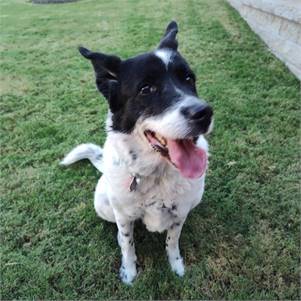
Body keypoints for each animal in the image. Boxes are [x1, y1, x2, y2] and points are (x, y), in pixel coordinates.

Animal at [59, 21, 212, 284]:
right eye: (146, 89)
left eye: (189, 78)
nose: (205, 113)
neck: (158, 175)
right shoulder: (123, 216)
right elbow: (127, 244)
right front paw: (129, 272)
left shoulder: (180, 212)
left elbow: (172, 242)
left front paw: (176, 266)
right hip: (103, 204)